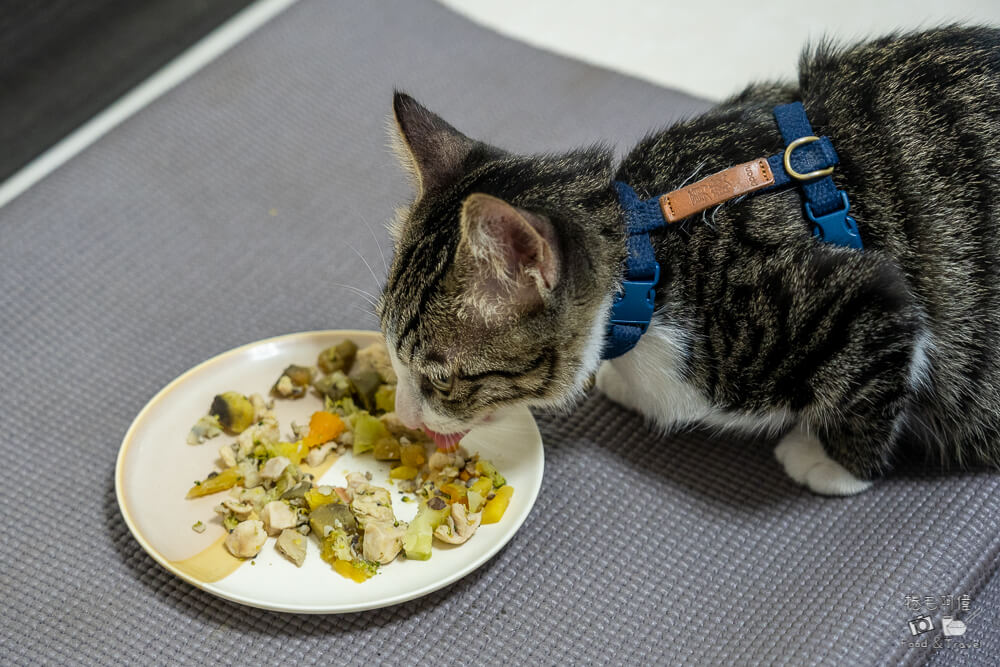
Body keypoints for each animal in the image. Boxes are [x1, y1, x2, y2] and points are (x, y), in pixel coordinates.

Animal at [376, 27, 1000, 496]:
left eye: (442, 379)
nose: (404, 415)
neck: (648, 263)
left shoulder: (866, 295)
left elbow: (873, 379)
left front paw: (834, 465)